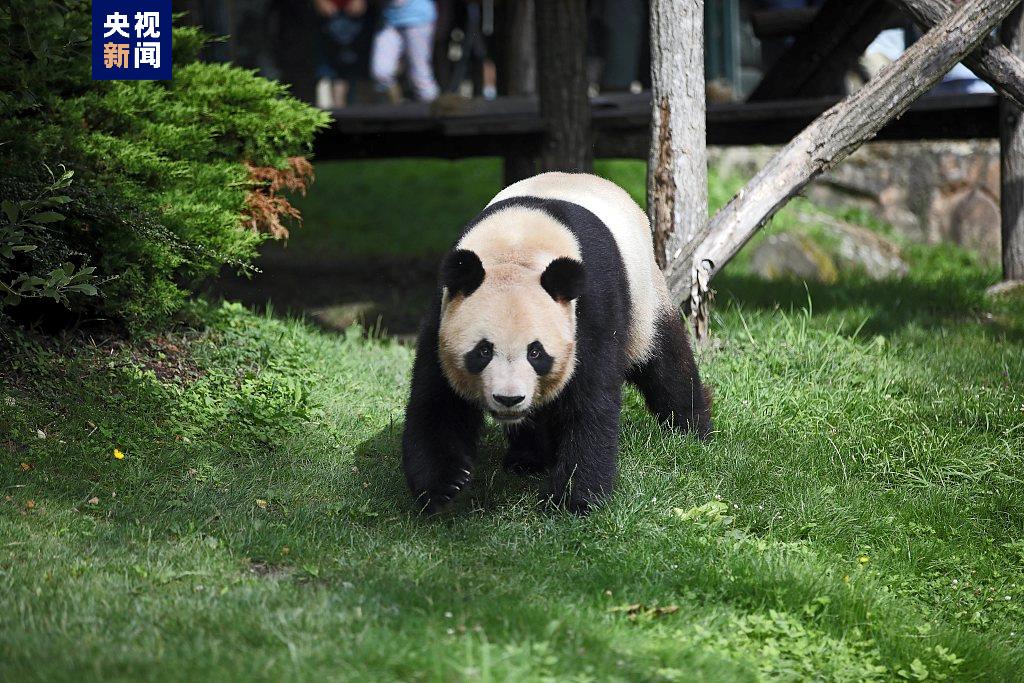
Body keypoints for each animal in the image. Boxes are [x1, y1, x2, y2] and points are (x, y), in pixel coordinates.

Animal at [399, 171, 712, 511]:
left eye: (536, 352)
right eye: (483, 351)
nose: (509, 399)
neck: (516, 246)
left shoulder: (590, 306)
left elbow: (590, 401)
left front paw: (575, 499)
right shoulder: (443, 310)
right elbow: (439, 402)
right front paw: (443, 486)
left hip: (645, 298)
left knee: (665, 362)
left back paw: (693, 431)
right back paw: (528, 459)